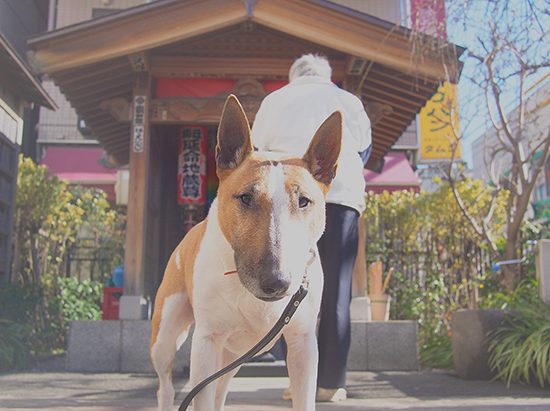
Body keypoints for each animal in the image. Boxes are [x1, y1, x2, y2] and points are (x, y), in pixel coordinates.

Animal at [150, 95, 340, 410]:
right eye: (245, 198)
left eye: (304, 201)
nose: (277, 282)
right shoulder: (207, 341)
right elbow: (200, 397)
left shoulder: (303, 342)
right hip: (166, 334)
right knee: (165, 385)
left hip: (236, 354)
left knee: (220, 390)